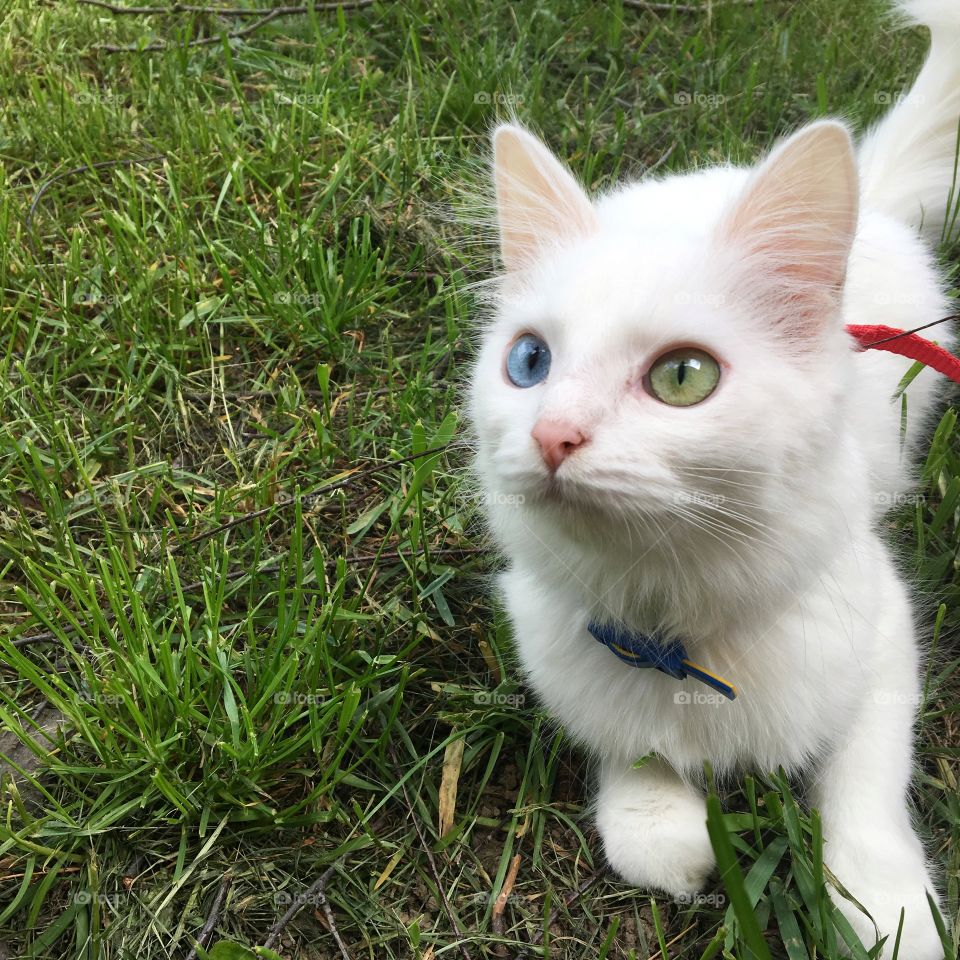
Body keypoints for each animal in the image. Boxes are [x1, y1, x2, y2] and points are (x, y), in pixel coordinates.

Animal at [466, 0, 960, 952]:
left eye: (683, 377)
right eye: (529, 362)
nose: (551, 434)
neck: (675, 616)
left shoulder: (881, 635)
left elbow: (866, 789)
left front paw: (889, 911)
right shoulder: (560, 638)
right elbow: (624, 744)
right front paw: (661, 824)